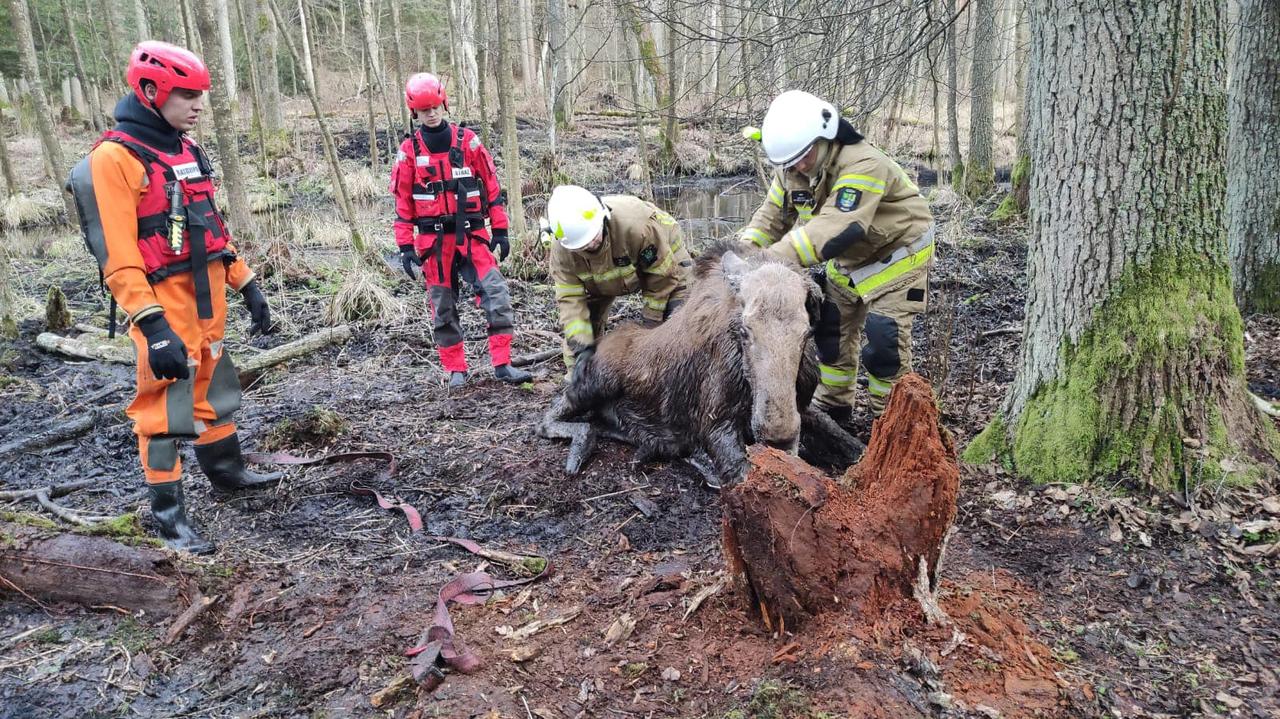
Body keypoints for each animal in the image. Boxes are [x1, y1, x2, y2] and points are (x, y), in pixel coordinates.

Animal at [535, 241, 865, 486]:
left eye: (807, 332)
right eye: (745, 329)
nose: (778, 435)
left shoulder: (804, 405)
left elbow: (846, 439)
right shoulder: (715, 422)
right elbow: (742, 473)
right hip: (596, 382)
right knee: (549, 416)